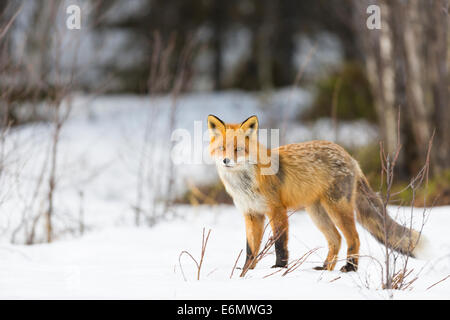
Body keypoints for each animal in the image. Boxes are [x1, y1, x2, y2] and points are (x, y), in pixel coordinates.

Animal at [207, 114, 426, 272]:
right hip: (317, 213)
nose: (226, 161)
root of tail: (350, 157)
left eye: (238, 149)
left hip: (337, 209)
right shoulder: (252, 213)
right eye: (222, 148)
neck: (245, 184)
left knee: (353, 238)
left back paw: (350, 268)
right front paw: (246, 271)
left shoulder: (277, 210)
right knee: (336, 239)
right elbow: (251, 248)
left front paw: (279, 268)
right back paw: (326, 267)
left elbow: (280, 243)